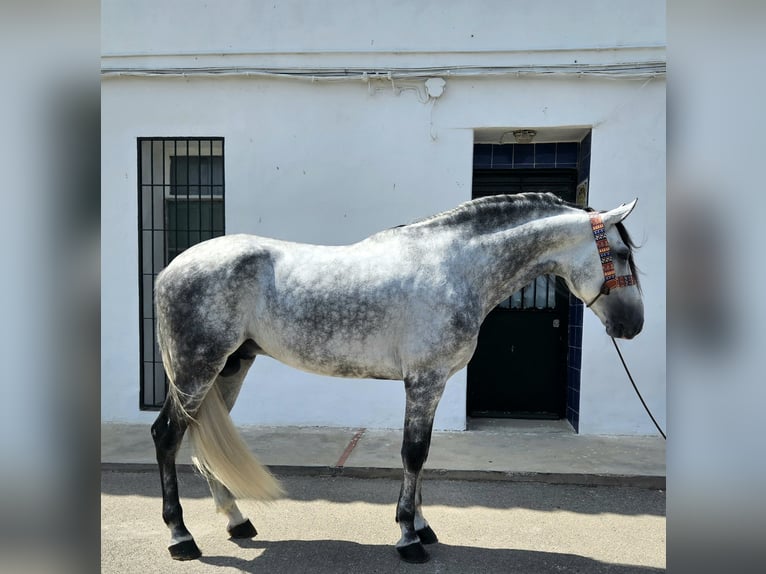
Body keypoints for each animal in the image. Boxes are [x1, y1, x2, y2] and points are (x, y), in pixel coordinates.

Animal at [150, 194, 640, 564]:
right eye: (622, 255)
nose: (632, 325)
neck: (455, 268)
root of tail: (171, 269)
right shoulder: (424, 380)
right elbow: (413, 453)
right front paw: (408, 537)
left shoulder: (432, 382)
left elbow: (422, 456)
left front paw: (422, 527)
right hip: (197, 369)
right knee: (168, 435)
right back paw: (181, 538)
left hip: (229, 368)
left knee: (198, 438)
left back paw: (237, 520)